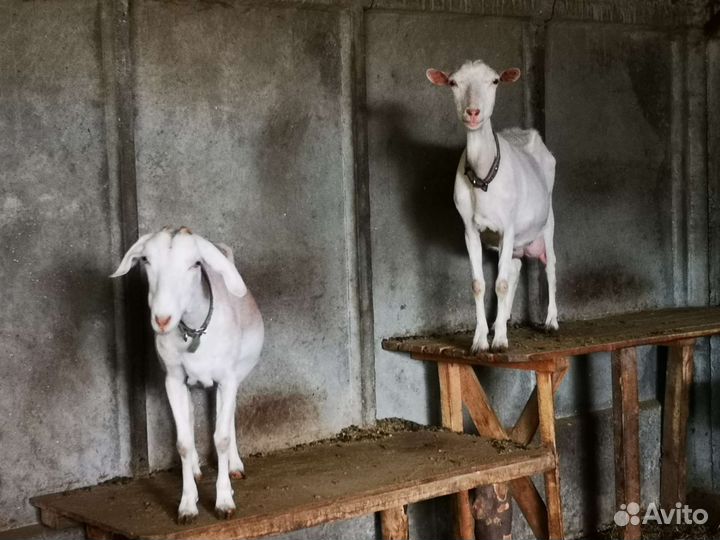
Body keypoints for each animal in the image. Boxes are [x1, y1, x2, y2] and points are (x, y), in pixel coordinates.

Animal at [111, 226, 264, 523]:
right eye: (145, 260)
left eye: (195, 264)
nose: (162, 319)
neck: (194, 331)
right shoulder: (173, 379)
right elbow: (183, 441)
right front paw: (187, 505)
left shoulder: (227, 378)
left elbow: (221, 437)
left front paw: (224, 502)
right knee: (192, 417)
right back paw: (194, 469)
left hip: (237, 373)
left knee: (228, 416)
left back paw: (235, 466)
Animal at [426, 60, 558, 352]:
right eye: (453, 82)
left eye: (495, 81)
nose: (473, 112)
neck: (483, 176)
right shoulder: (469, 229)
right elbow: (480, 284)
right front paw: (480, 340)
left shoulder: (508, 226)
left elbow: (501, 283)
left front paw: (499, 341)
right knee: (515, 266)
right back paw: (503, 319)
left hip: (548, 219)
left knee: (551, 264)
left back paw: (551, 321)